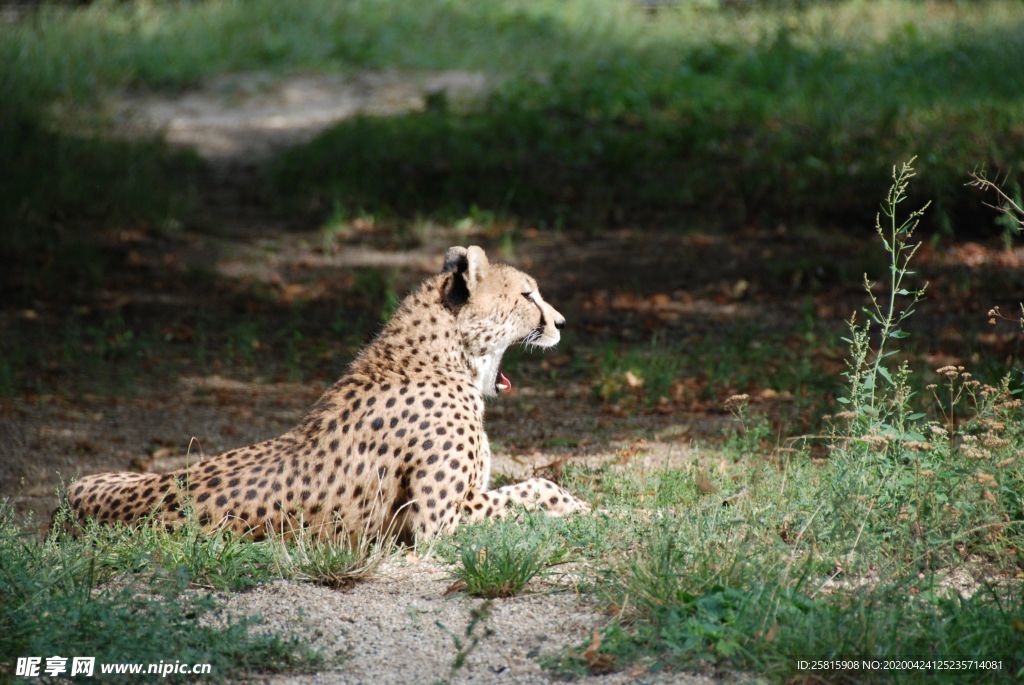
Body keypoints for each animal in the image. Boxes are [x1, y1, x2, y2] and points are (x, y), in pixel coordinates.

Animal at [59, 245, 589, 540]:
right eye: (527, 295)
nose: (562, 322)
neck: (444, 358)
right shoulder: (437, 521)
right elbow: (536, 487)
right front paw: (583, 507)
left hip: (96, 477)